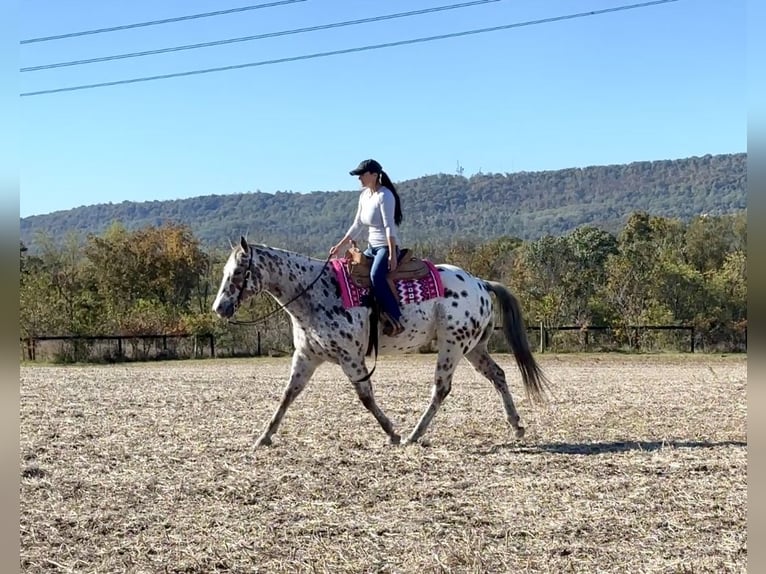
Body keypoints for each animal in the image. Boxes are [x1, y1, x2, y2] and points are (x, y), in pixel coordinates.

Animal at [212, 237, 549, 446]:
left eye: (239, 271)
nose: (219, 308)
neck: (315, 293)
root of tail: (480, 282)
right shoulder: (307, 356)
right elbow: (287, 396)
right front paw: (263, 437)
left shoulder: (350, 357)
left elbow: (366, 397)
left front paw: (392, 433)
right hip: (474, 348)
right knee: (498, 375)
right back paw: (516, 425)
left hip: (451, 346)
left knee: (441, 388)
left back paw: (414, 434)